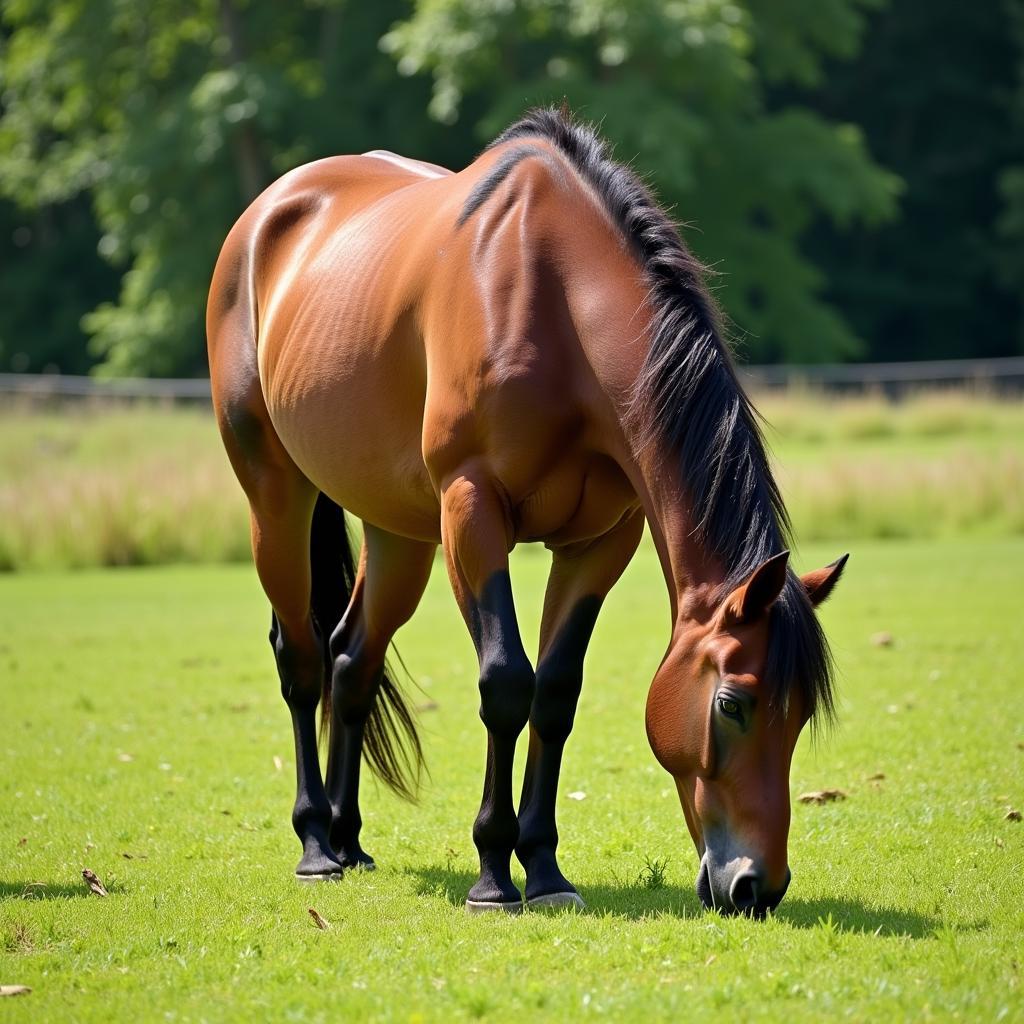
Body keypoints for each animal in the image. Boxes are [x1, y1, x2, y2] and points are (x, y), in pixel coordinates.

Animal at [205, 105, 847, 921]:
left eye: (799, 716)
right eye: (734, 704)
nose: (756, 887)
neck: (553, 299)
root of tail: (266, 214)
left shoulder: (600, 541)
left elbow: (555, 692)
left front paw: (543, 868)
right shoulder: (472, 511)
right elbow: (506, 682)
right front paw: (492, 873)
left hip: (398, 532)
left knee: (352, 658)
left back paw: (350, 841)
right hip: (277, 495)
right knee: (302, 659)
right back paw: (318, 845)